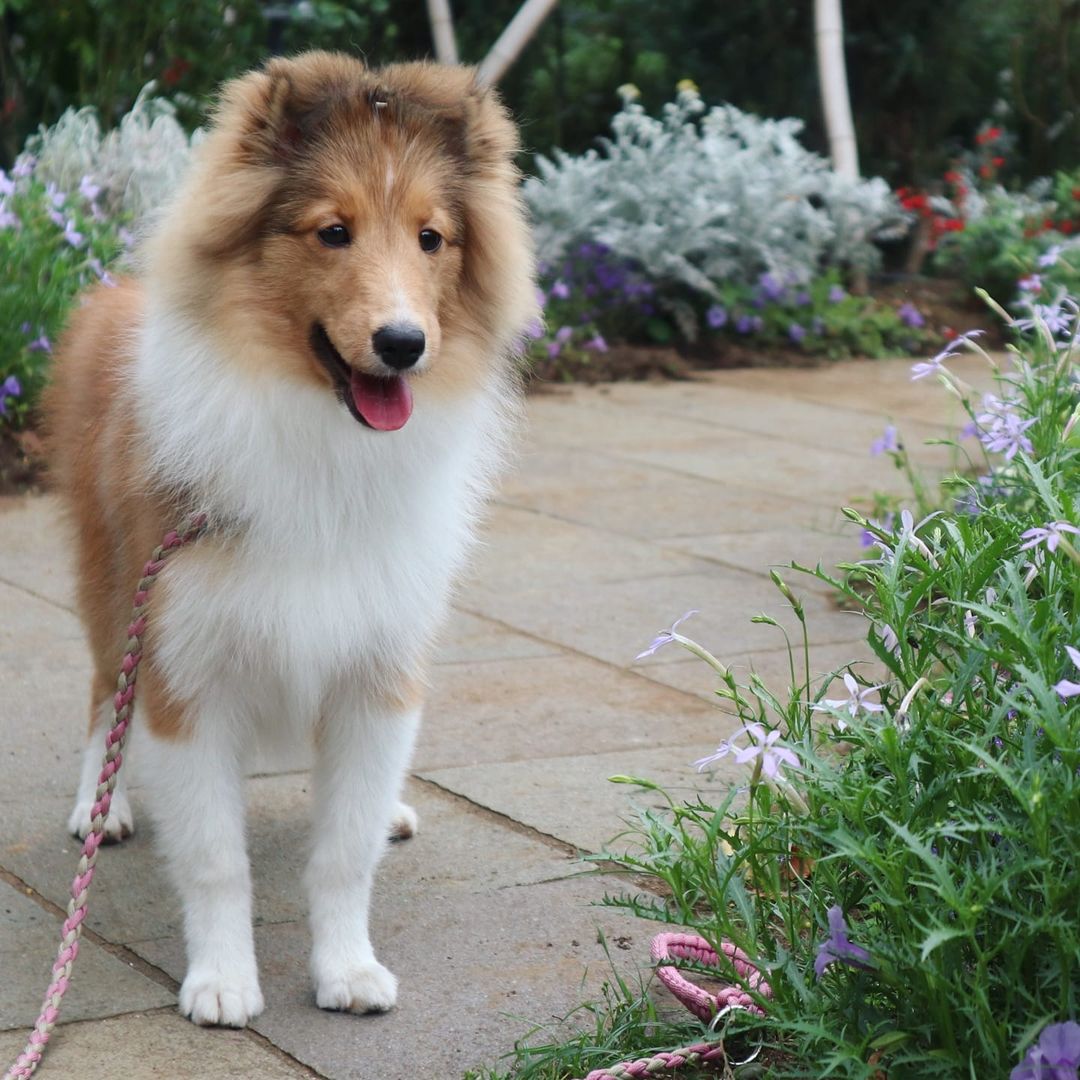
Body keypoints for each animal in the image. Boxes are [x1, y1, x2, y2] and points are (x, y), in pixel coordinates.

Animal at [45, 50, 535, 1023]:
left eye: (432, 238)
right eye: (332, 232)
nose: (403, 342)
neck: (322, 438)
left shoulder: (379, 667)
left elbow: (343, 851)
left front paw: (348, 971)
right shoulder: (187, 669)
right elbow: (214, 858)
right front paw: (222, 983)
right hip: (111, 583)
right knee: (101, 696)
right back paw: (101, 808)